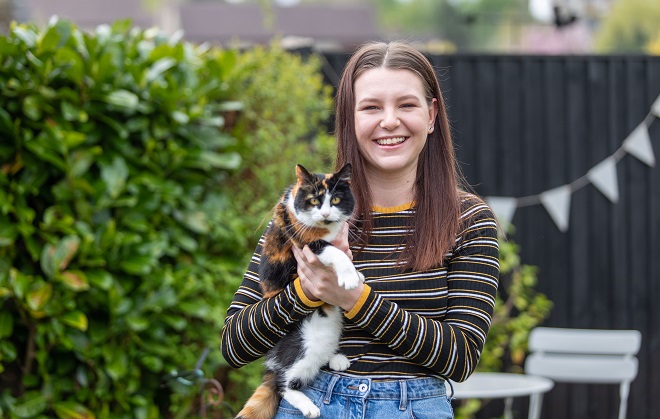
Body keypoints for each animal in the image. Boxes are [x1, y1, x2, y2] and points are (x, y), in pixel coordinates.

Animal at [235, 164, 364, 419]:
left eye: (336, 199)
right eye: (314, 200)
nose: (325, 214)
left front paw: (358, 276)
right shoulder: (306, 243)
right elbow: (337, 253)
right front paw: (349, 277)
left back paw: (336, 359)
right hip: (302, 347)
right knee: (282, 383)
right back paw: (308, 406)